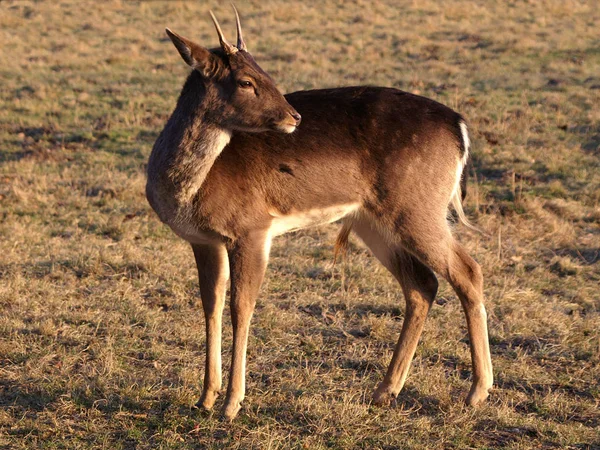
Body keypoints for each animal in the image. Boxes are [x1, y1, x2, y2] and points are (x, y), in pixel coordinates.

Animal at [144, 7, 492, 422]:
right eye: (247, 80)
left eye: (263, 71)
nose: (293, 116)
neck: (187, 189)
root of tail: (460, 128)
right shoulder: (204, 240)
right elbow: (210, 304)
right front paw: (205, 397)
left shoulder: (253, 227)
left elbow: (241, 307)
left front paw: (231, 404)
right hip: (375, 220)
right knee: (422, 284)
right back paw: (385, 391)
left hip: (417, 208)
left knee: (468, 270)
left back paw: (477, 391)